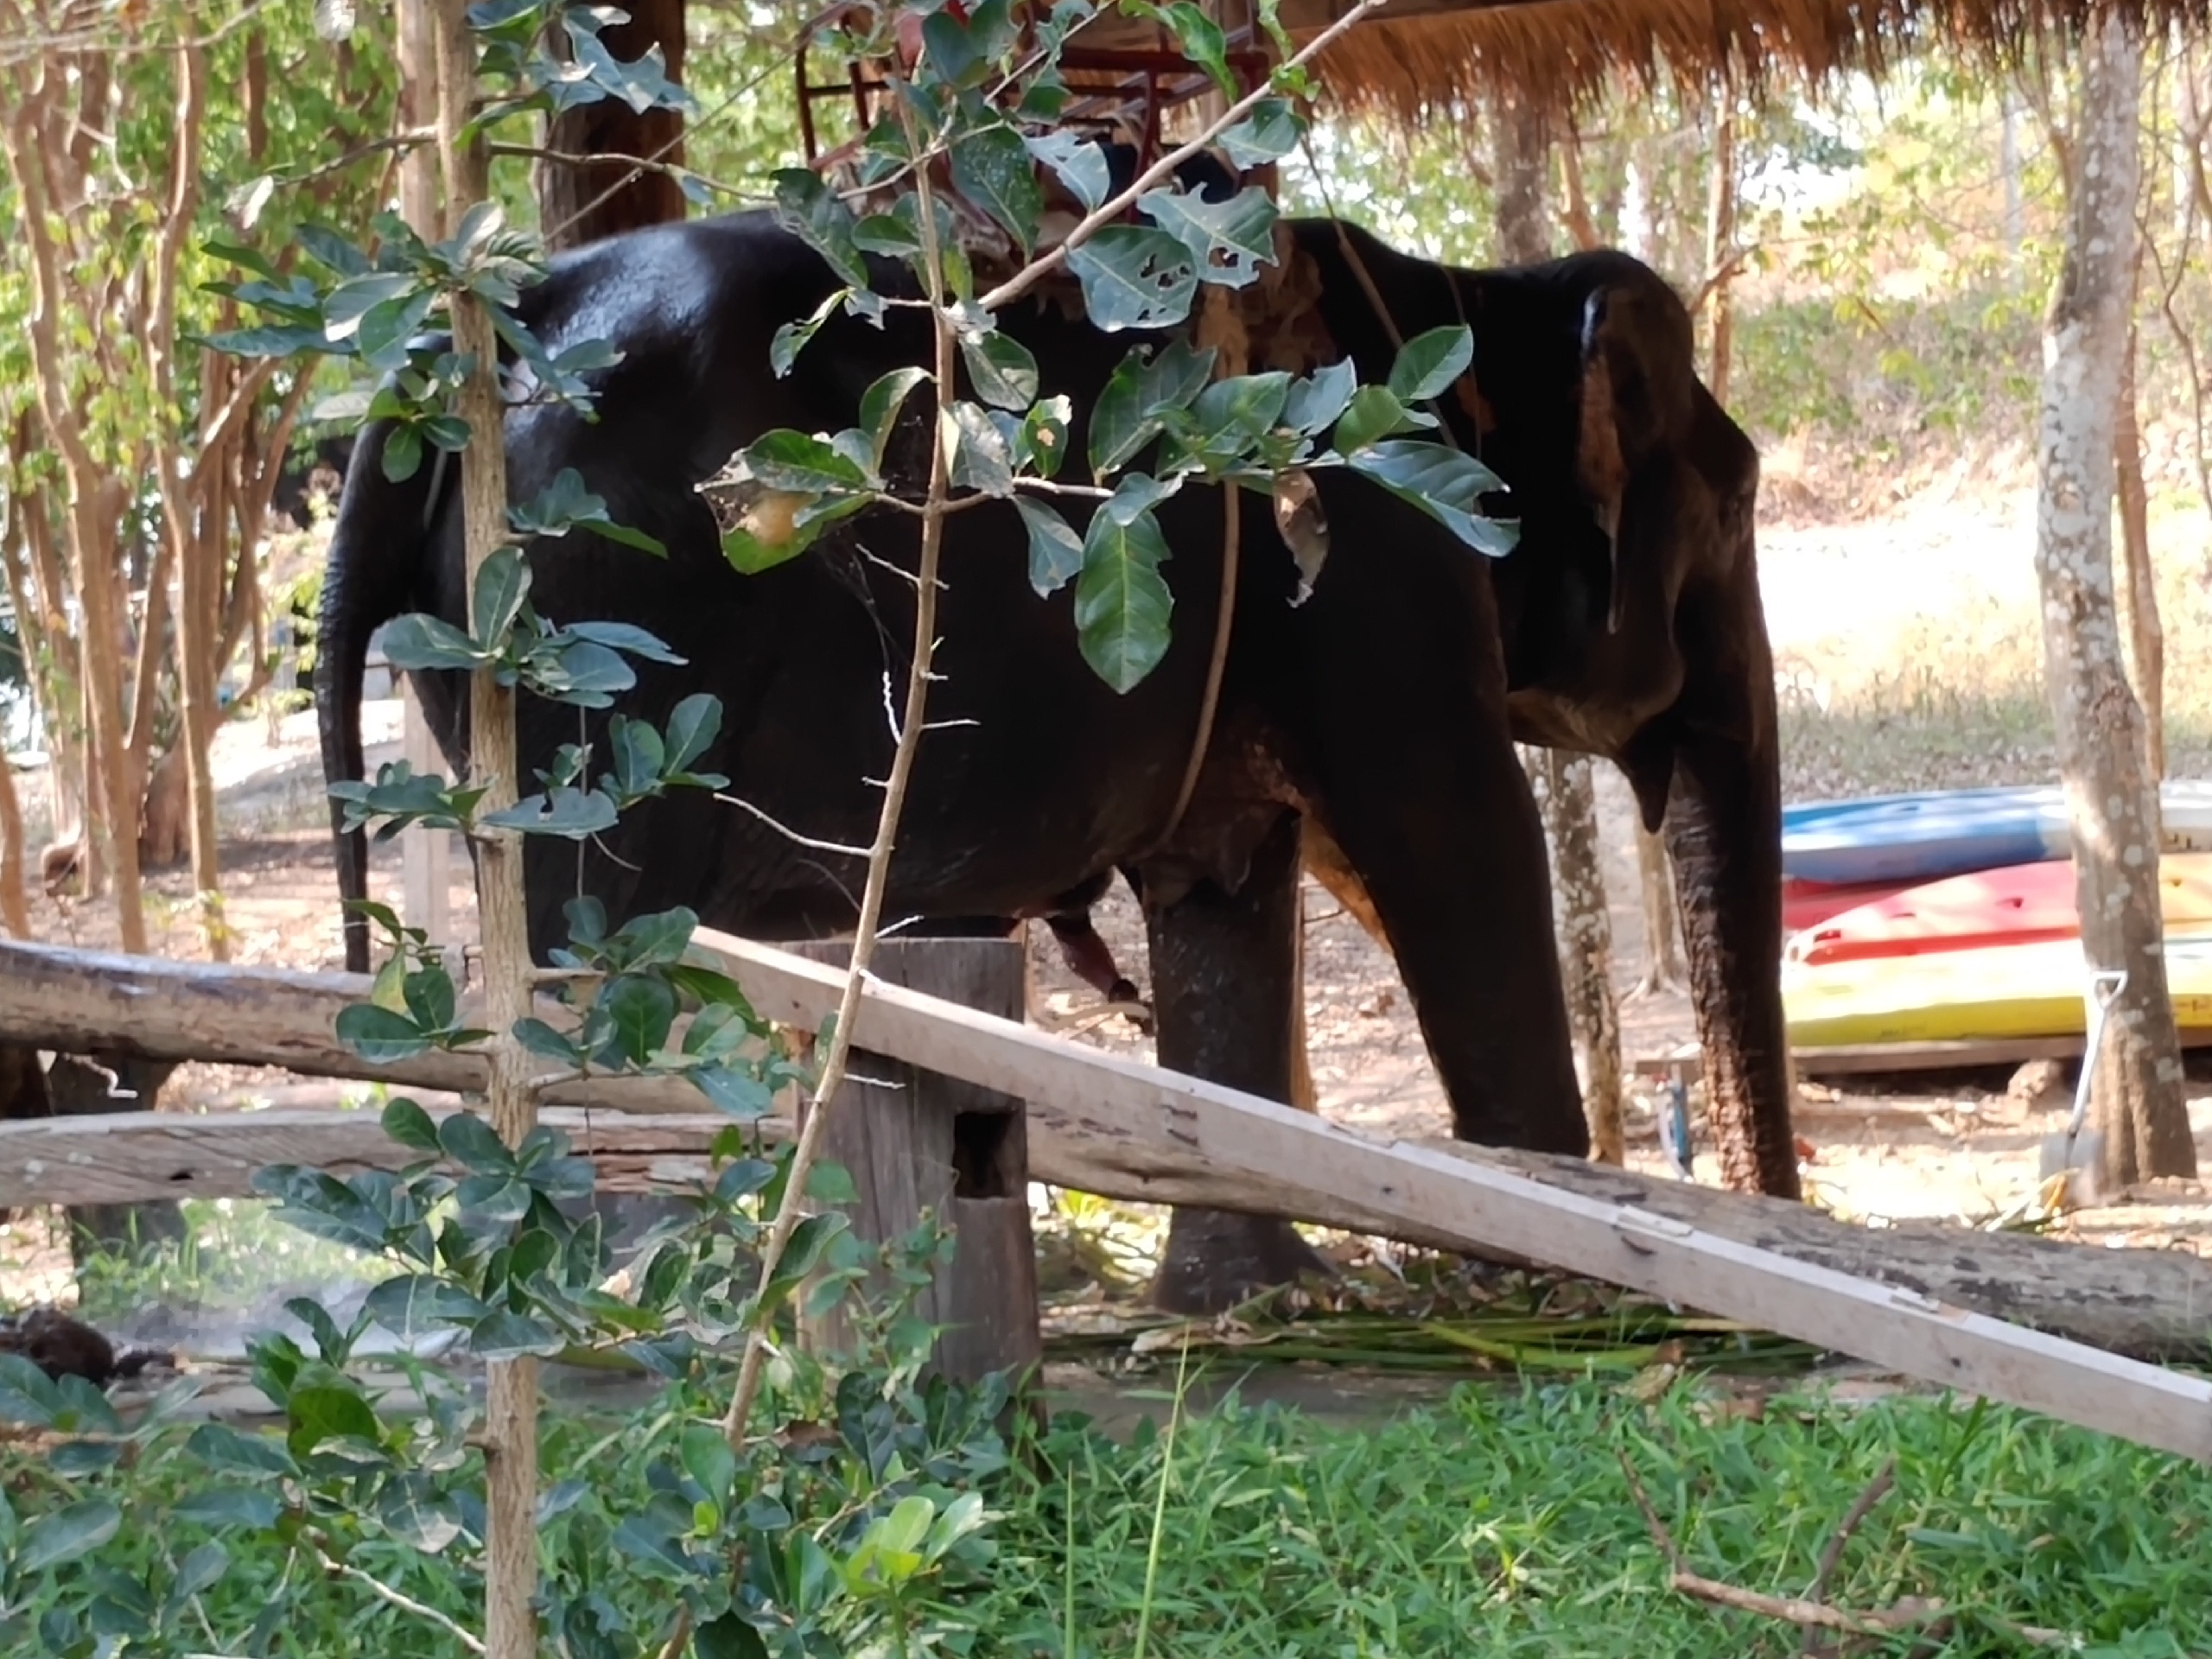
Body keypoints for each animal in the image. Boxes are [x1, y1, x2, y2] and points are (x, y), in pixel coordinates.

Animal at [316, 211, 1796, 1327]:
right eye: (1737, 502)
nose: (1778, 1221)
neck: (1470, 294)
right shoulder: (1380, 554)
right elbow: (1453, 838)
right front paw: (1578, 1285)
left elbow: (1223, 893)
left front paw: (1249, 1305)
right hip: (583, 624)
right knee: (596, 928)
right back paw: (626, 1281)